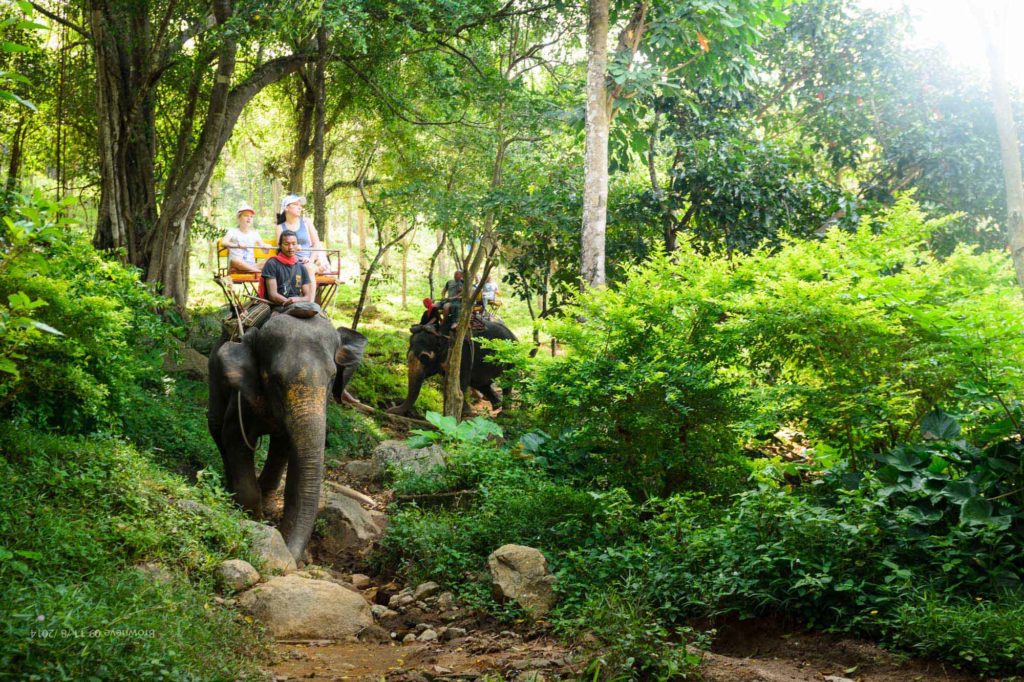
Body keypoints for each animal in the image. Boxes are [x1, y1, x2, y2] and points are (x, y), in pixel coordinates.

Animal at [207, 313, 367, 561]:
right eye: (274, 379)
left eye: (332, 377)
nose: (293, 557)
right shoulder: (242, 397)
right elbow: (234, 437)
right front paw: (253, 517)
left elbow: (288, 446)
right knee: (216, 425)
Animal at [387, 316, 516, 417]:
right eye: (407, 355)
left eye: (425, 357)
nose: (389, 410)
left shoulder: (463, 354)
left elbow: (461, 382)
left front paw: (465, 414)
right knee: (482, 385)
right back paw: (496, 406)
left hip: (511, 360)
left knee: (507, 383)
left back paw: (503, 415)